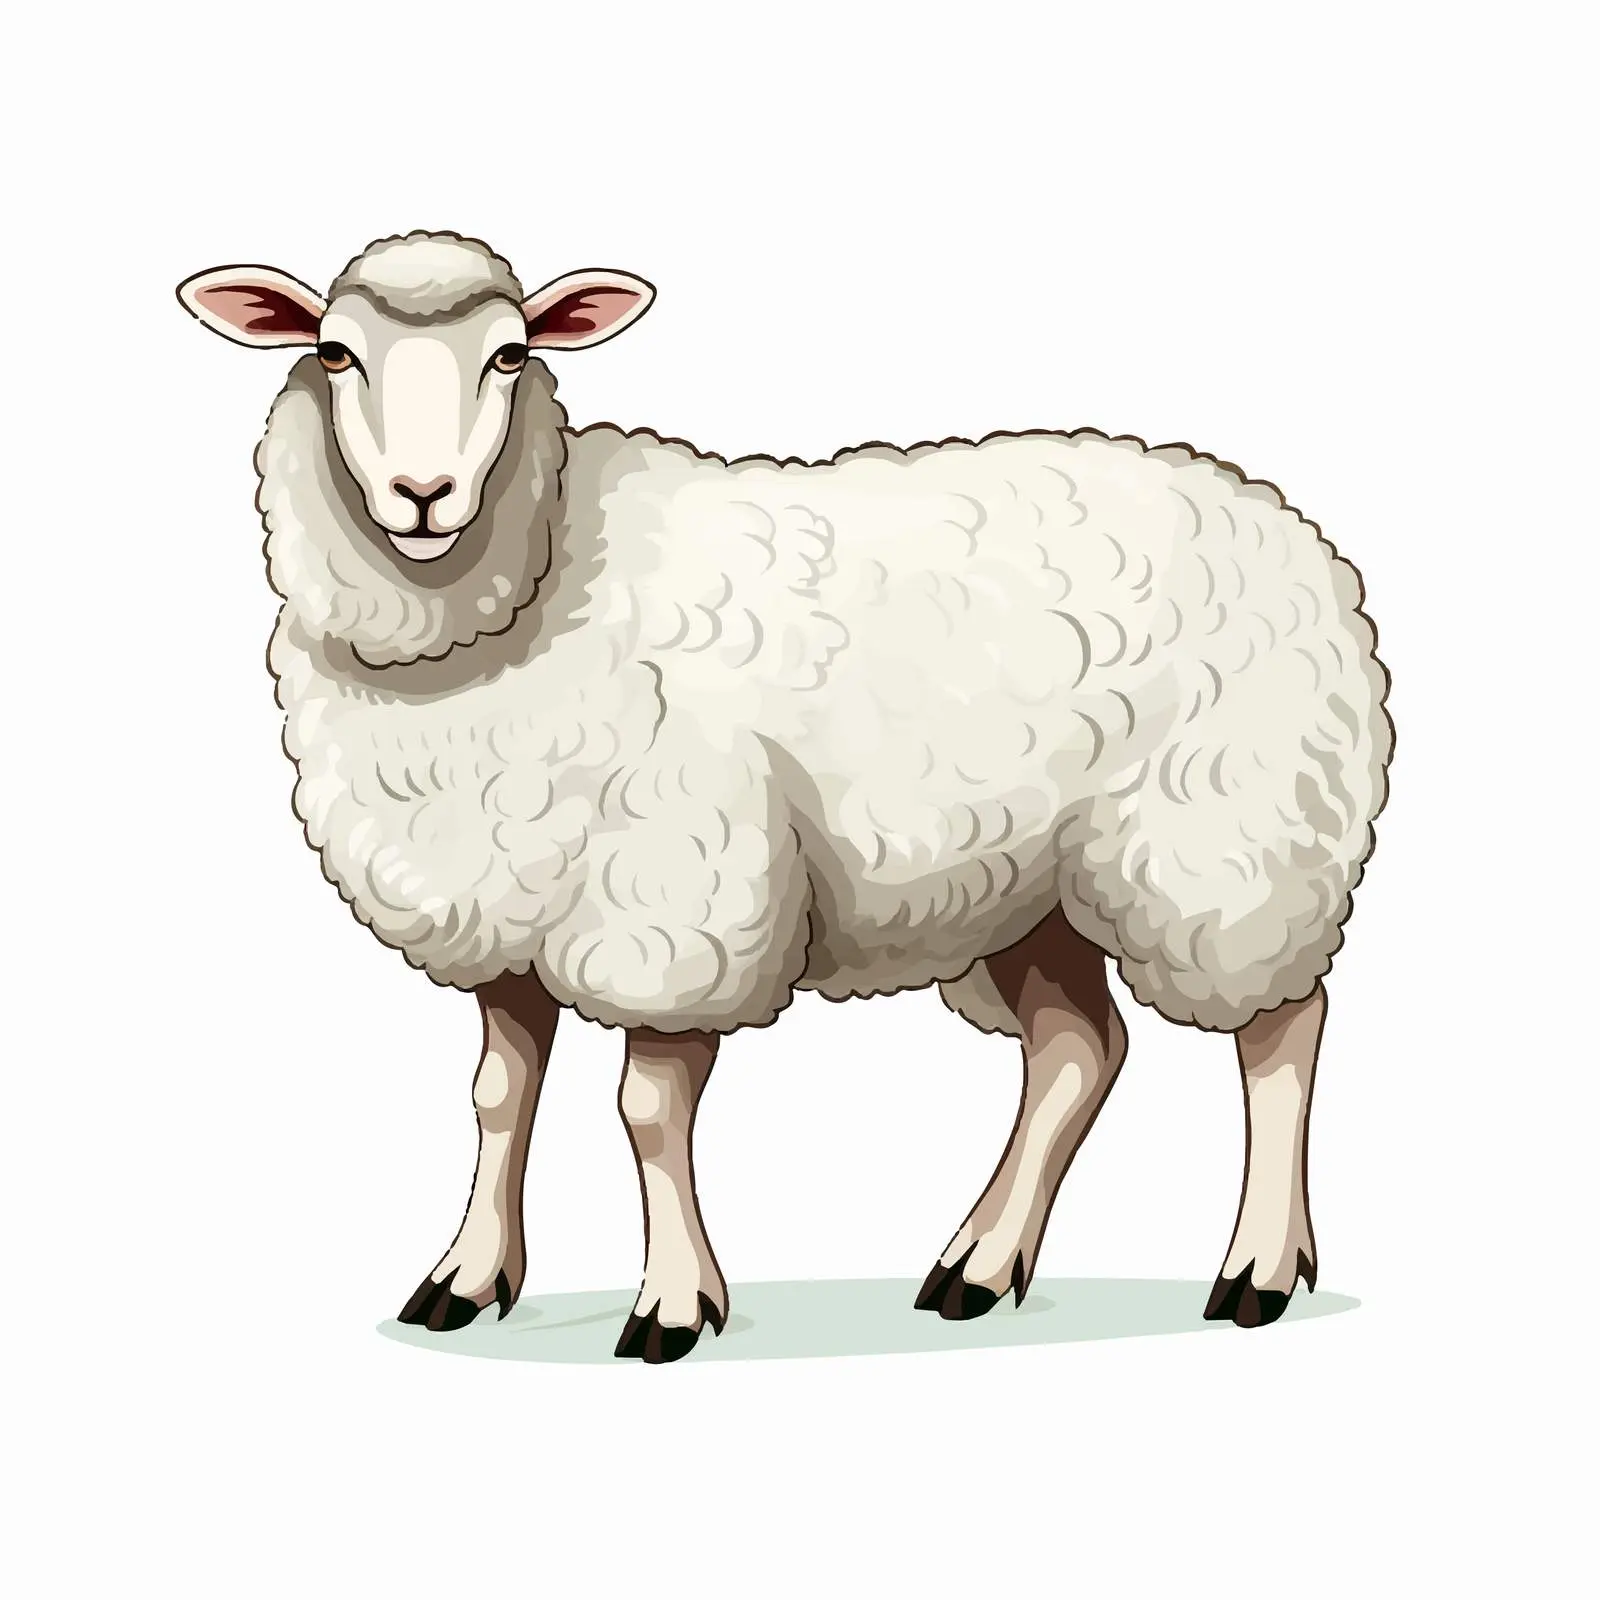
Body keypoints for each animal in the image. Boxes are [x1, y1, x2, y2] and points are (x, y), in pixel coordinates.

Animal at [177, 230, 1393, 1362]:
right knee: (1074, 1050)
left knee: (1282, 1032)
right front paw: (468, 1279)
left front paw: (672, 1304)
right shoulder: (508, 906)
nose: (422, 497)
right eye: (335, 352)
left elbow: (645, 1112)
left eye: (512, 354)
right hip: (1027, 884)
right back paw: (978, 1264)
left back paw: (1257, 1269)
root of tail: (1277, 516)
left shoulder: (672, 910)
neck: (532, 588)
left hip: (1228, 842)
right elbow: (496, 1096)